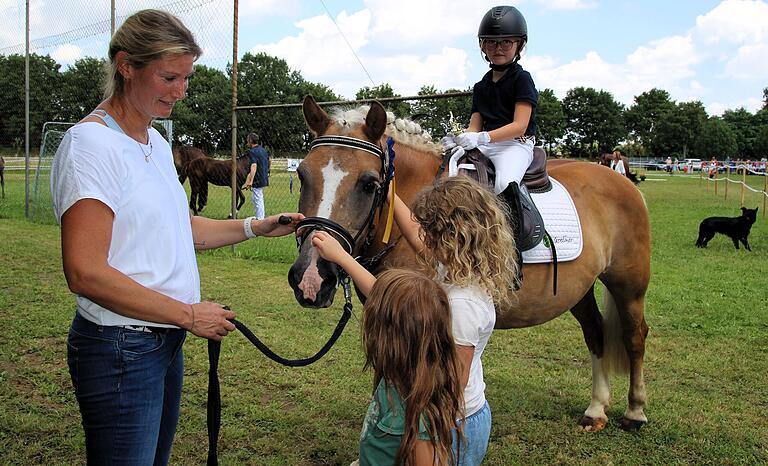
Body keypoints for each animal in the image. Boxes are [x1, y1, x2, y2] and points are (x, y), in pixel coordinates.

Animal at [292, 95, 652, 434]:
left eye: (369, 184)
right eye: (302, 175)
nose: (311, 277)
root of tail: (621, 180)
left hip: (628, 284)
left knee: (635, 336)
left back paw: (635, 412)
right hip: (580, 288)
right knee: (596, 332)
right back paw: (596, 410)